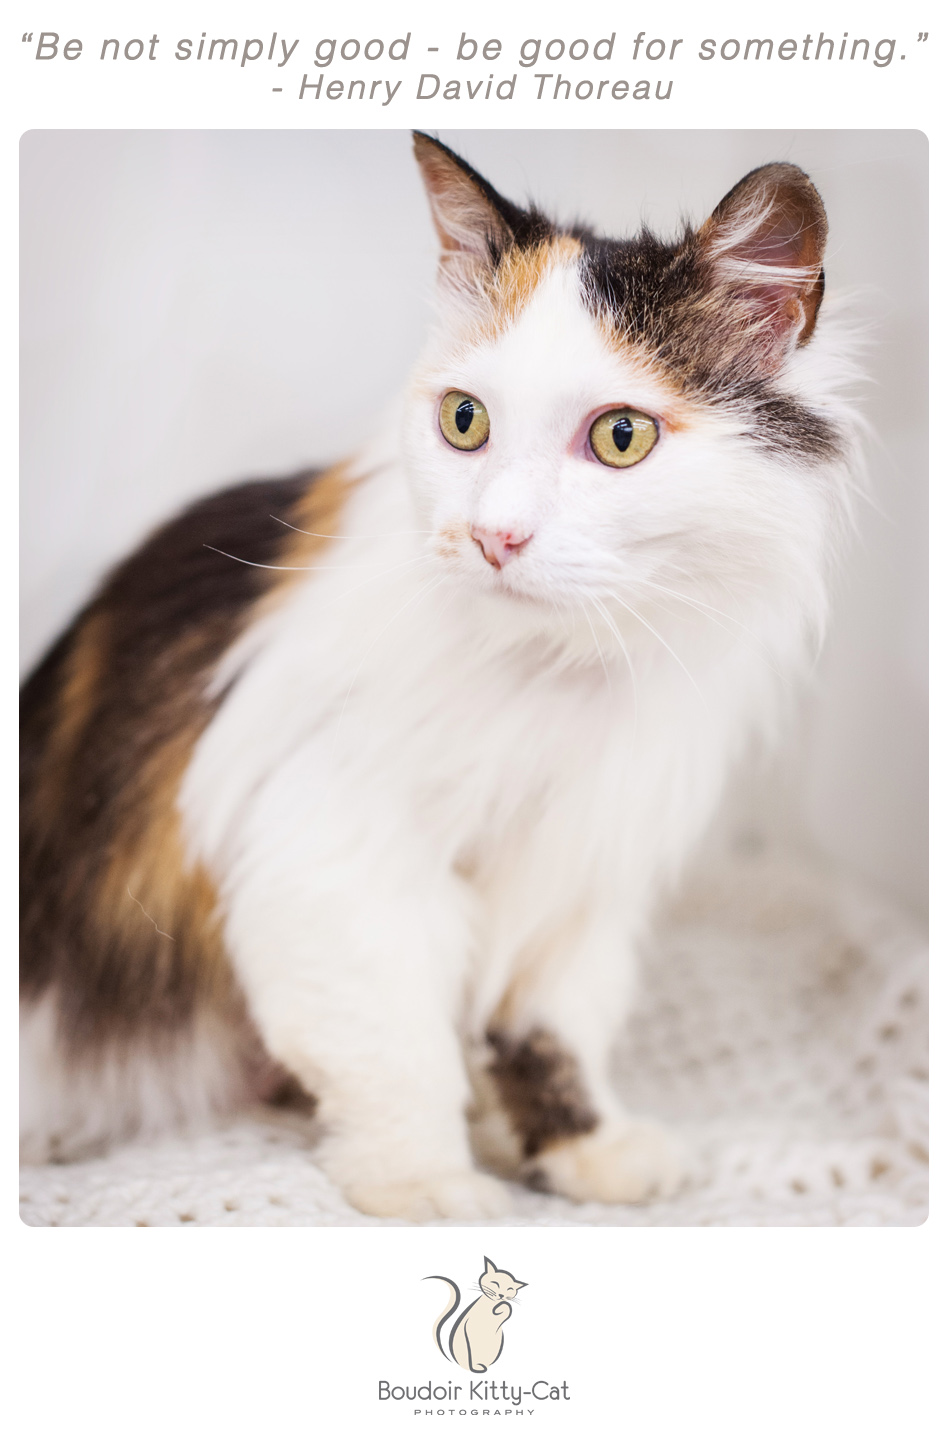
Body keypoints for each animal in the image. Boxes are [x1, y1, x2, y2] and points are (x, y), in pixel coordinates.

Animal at [20, 129, 861, 1216]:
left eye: (621, 436)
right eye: (465, 422)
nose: (494, 535)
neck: (557, 672)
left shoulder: (581, 875)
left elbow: (551, 1033)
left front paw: (581, 1149)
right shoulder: (339, 856)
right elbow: (397, 1048)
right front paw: (421, 1179)